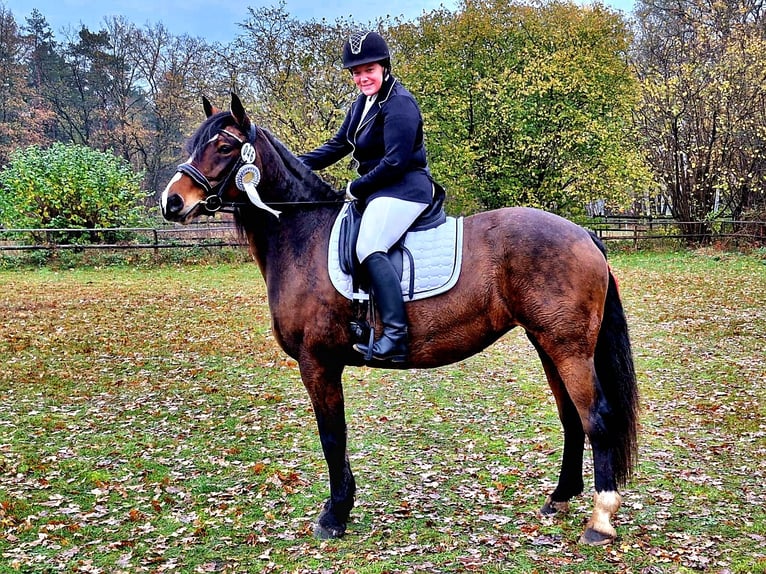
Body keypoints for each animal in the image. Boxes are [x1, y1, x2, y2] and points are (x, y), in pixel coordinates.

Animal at [160, 93, 639, 546]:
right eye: (195, 144)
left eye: (224, 146)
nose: (172, 202)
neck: (303, 235)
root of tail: (583, 233)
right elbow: (336, 438)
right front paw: (340, 508)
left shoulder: (317, 363)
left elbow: (332, 437)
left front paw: (334, 516)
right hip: (547, 344)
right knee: (571, 417)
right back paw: (559, 498)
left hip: (568, 348)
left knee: (596, 417)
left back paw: (600, 519)